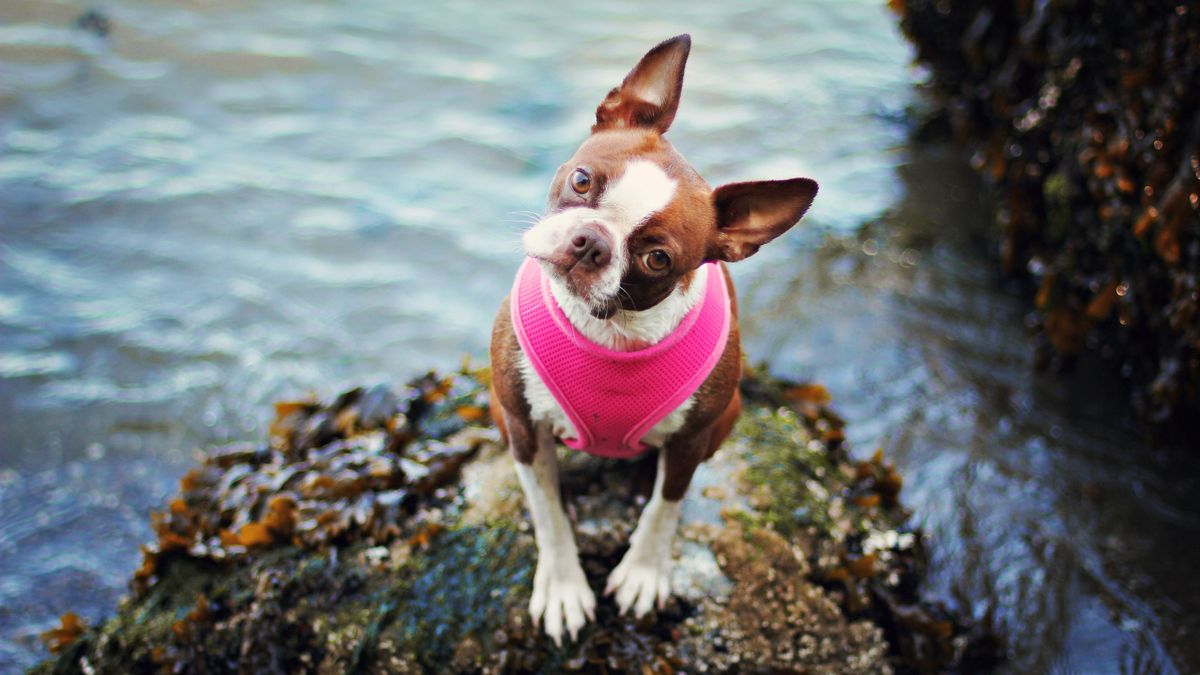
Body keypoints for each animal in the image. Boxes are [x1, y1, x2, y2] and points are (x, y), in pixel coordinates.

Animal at [487, 32, 816, 638]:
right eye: (582, 180)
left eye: (657, 259)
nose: (591, 242)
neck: (610, 328)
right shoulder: (523, 424)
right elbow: (546, 512)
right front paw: (563, 586)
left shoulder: (691, 439)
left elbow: (667, 506)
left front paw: (643, 572)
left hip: (728, 415)